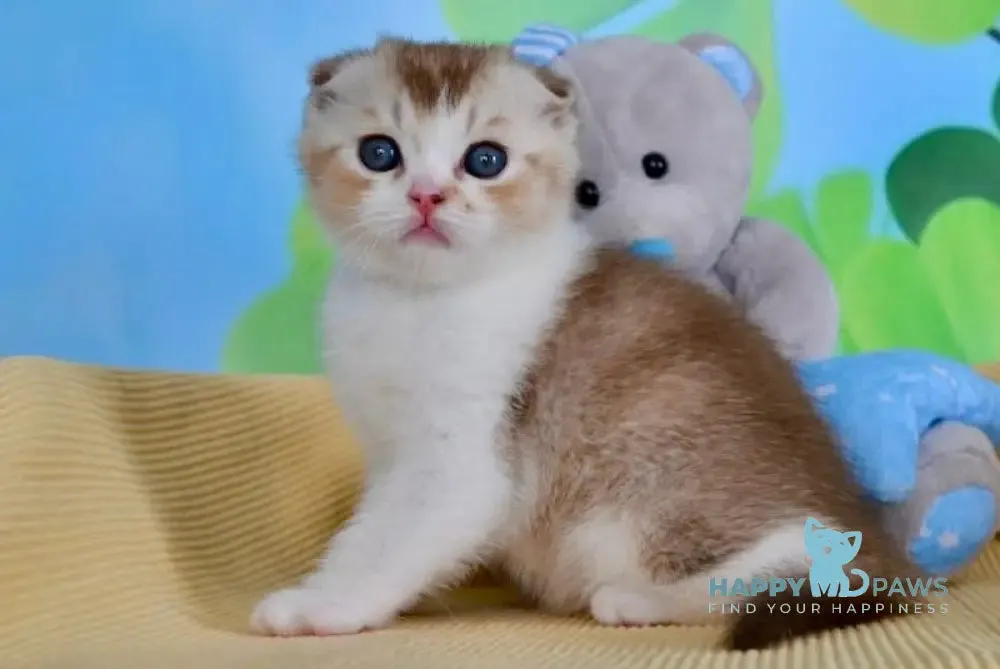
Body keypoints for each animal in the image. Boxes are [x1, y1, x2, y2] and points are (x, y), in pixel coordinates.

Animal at [248, 39, 916, 648]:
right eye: (379, 153)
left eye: (485, 159)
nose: (427, 195)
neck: (419, 301)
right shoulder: (390, 452)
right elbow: (364, 531)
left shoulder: (463, 461)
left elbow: (390, 542)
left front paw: (323, 605)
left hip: (643, 500)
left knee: (794, 560)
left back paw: (641, 599)